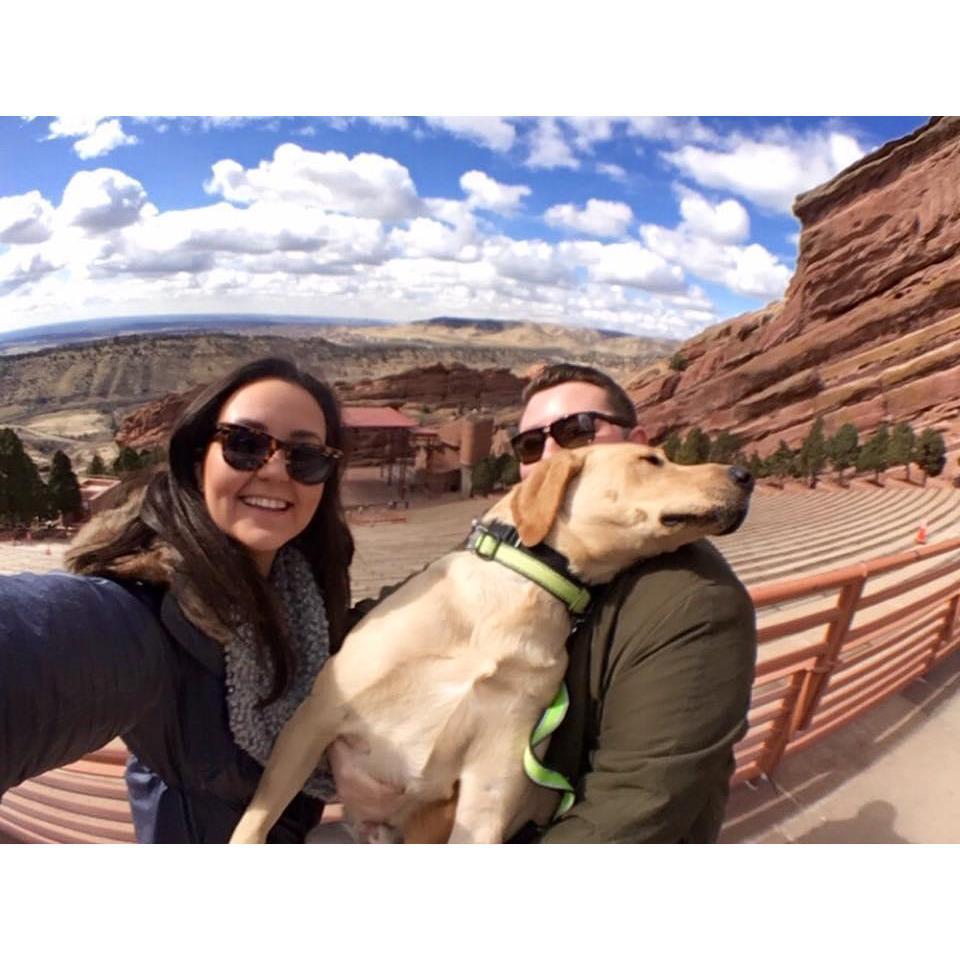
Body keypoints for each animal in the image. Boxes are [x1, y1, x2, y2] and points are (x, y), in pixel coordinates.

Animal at [231, 442, 752, 840]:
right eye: (649, 459)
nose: (745, 474)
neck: (524, 592)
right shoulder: (315, 718)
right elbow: (253, 824)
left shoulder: (488, 790)